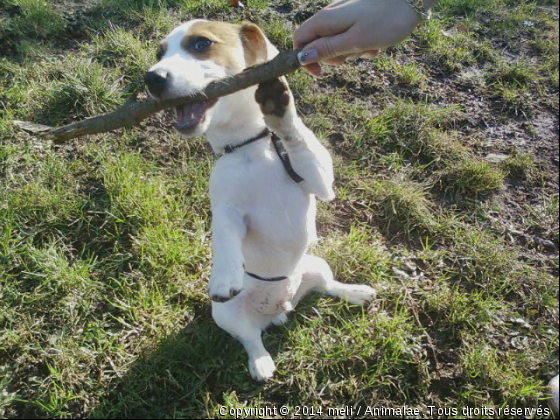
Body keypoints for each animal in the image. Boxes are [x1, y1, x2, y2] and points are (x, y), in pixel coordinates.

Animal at [145, 18, 376, 380]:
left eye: (201, 44)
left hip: (316, 265)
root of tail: (277, 309)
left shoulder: (322, 183)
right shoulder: (227, 209)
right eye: (159, 54)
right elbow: (224, 233)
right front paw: (225, 274)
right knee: (250, 337)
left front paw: (280, 111)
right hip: (226, 314)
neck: (249, 148)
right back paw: (261, 361)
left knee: (327, 286)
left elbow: (296, 139)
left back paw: (355, 292)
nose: (151, 78)